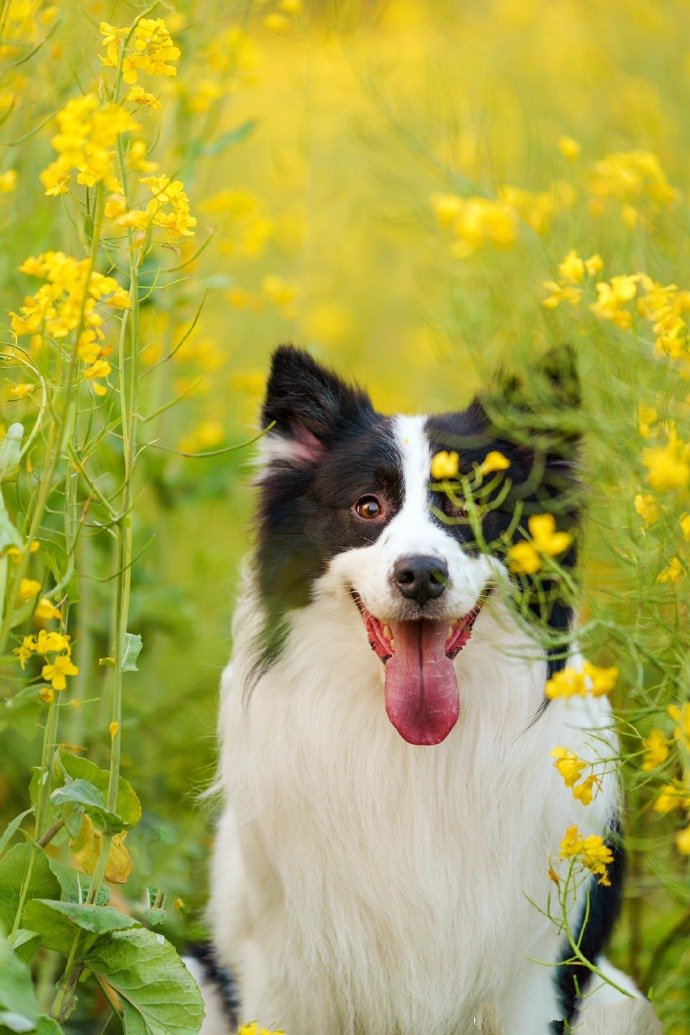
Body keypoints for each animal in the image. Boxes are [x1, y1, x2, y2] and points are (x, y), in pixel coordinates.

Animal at [190, 349, 641, 1035]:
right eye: (368, 507)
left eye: (473, 505)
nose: (421, 575)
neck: (412, 750)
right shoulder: (281, 973)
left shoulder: (530, 982)